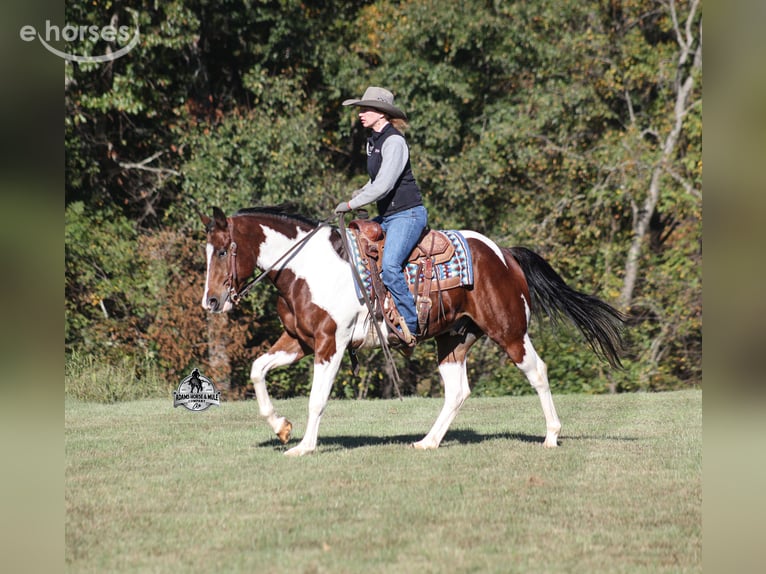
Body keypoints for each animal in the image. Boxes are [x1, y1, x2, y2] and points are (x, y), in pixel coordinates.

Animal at [200, 205, 627, 456]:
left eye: (221, 251)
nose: (211, 302)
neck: (308, 267)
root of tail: (504, 254)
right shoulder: (298, 341)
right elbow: (258, 370)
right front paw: (282, 428)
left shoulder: (329, 343)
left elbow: (317, 399)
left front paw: (303, 446)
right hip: (453, 339)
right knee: (457, 391)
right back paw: (429, 441)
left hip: (509, 332)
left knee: (537, 371)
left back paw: (552, 435)